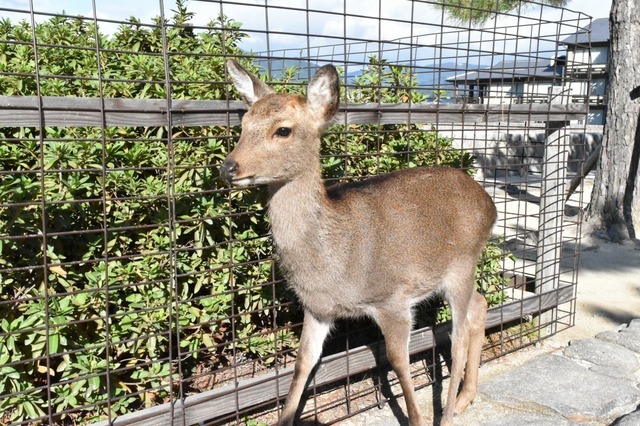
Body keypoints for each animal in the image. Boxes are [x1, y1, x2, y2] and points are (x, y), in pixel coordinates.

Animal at [219, 60, 497, 426]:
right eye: (244, 123)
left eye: (283, 130)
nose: (228, 168)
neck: (334, 261)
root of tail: (490, 205)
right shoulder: (317, 308)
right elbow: (302, 363)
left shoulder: (391, 298)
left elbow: (398, 361)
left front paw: (417, 417)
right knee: (479, 305)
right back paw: (466, 398)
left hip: (462, 264)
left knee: (459, 336)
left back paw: (448, 412)